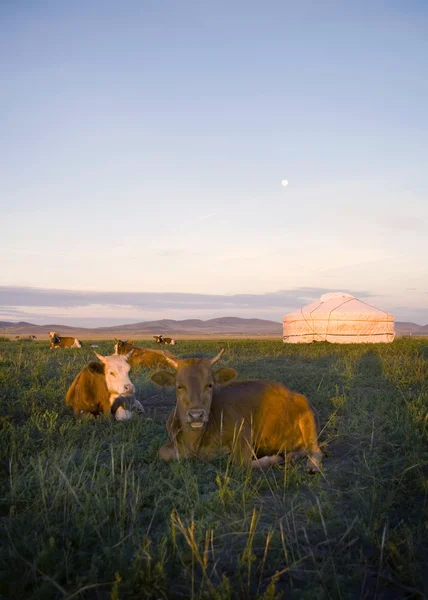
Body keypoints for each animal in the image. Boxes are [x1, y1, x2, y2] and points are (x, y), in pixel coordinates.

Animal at [150, 350, 320, 472]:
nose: (196, 415)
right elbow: (162, 453)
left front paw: (273, 459)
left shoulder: (244, 430)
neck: (195, 442)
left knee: (315, 450)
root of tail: (292, 392)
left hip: (307, 417)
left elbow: (241, 462)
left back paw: (311, 465)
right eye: (179, 386)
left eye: (210, 385)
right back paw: (291, 455)